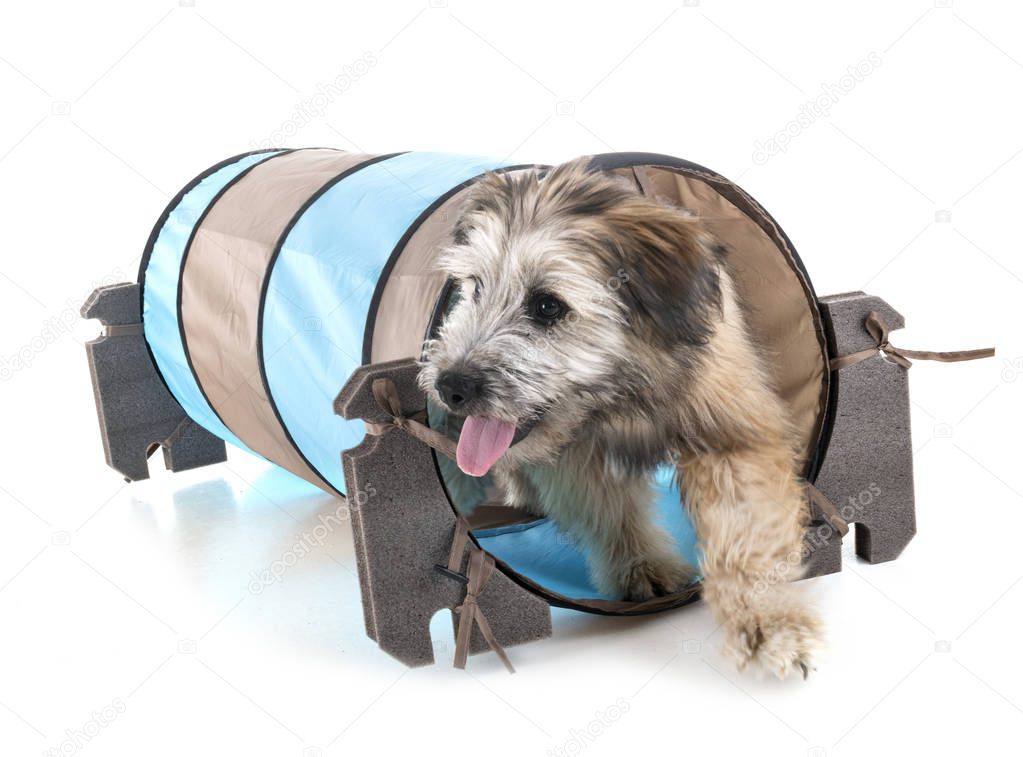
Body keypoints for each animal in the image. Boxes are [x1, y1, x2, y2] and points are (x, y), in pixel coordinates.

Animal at [419, 159, 826, 679]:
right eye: (476, 286)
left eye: (547, 305)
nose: (451, 385)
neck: (627, 391)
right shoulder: (578, 455)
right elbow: (611, 511)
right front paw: (642, 567)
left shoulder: (730, 433)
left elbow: (749, 531)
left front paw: (771, 623)